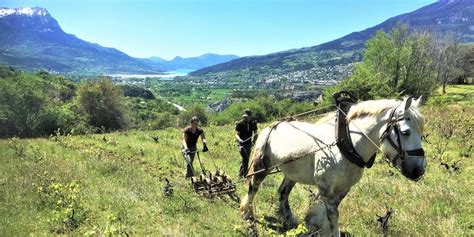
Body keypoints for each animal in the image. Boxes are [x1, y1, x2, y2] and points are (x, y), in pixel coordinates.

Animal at [241, 96, 426, 235]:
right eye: (405, 132)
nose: (418, 170)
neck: (347, 144)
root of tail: (273, 126)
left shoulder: (343, 188)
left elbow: (330, 215)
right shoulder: (326, 188)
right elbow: (332, 216)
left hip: (291, 173)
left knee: (283, 192)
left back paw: (289, 219)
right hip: (260, 167)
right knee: (253, 188)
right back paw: (247, 214)